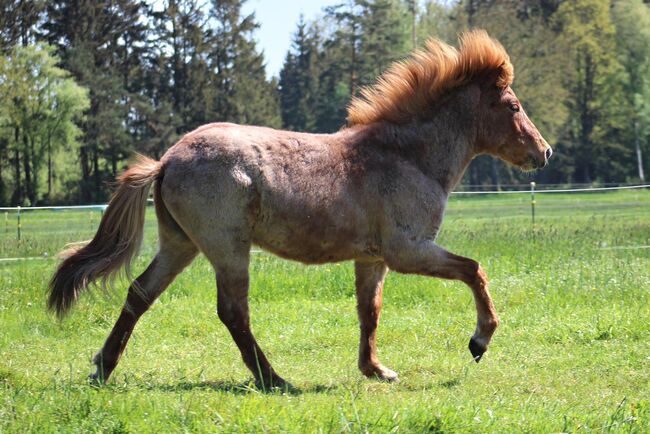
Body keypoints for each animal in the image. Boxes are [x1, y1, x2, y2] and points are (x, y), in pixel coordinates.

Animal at [48, 30, 548, 390]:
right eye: (513, 105)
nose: (544, 152)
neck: (406, 157)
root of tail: (167, 159)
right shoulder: (409, 250)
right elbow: (474, 270)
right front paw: (480, 339)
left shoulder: (372, 258)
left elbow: (370, 311)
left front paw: (376, 369)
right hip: (228, 249)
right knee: (233, 312)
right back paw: (274, 379)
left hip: (180, 245)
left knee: (139, 294)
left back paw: (103, 368)